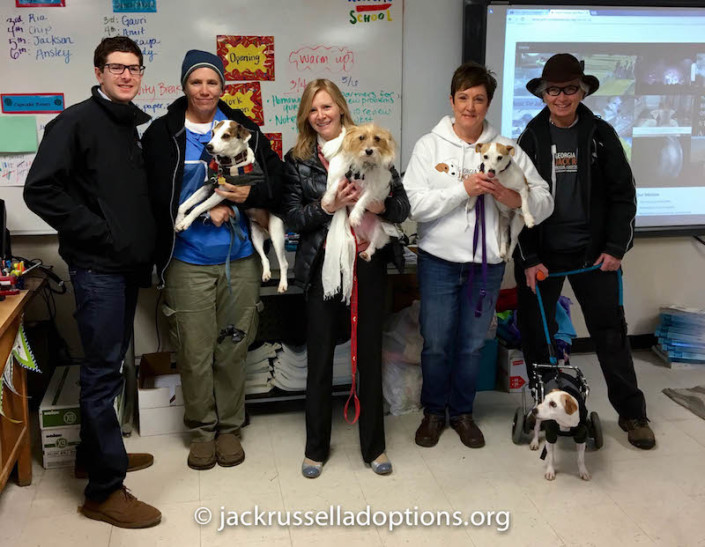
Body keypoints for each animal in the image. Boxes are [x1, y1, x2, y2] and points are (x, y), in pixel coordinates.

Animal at [176, 118, 288, 294]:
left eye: (226, 136)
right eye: (213, 133)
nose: (209, 146)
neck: (228, 165)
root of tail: (266, 230)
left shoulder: (222, 192)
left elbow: (198, 208)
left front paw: (186, 222)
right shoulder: (208, 186)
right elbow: (184, 204)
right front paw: (178, 220)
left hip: (277, 235)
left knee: (284, 263)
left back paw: (283, 284)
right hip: (255, 237)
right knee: (264, 259)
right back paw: (266, 274)